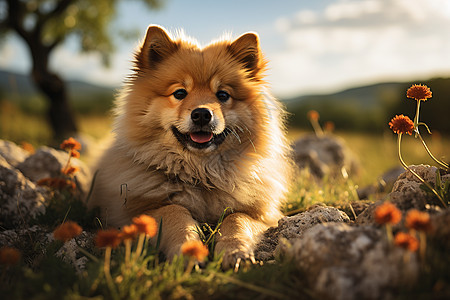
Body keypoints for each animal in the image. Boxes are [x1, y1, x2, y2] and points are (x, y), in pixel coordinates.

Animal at [89, 25, 294, 268]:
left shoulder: (262, 215)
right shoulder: (137, 212)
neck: (201, 174)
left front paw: (235, 250)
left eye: (223, 95)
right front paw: (188, 250)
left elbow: (236, 219)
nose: (202, 114)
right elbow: (175, 212)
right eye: (179, 93)